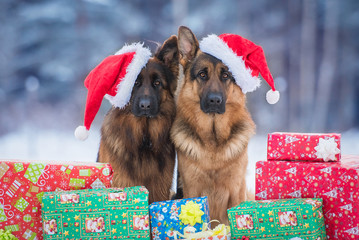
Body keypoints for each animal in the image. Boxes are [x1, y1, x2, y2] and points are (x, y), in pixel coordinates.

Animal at [172, 27, 256, 224]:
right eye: (202, 75)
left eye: (226, 76)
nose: (214, 101)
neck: (212, 138)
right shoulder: (192, 190)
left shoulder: (236, 191)